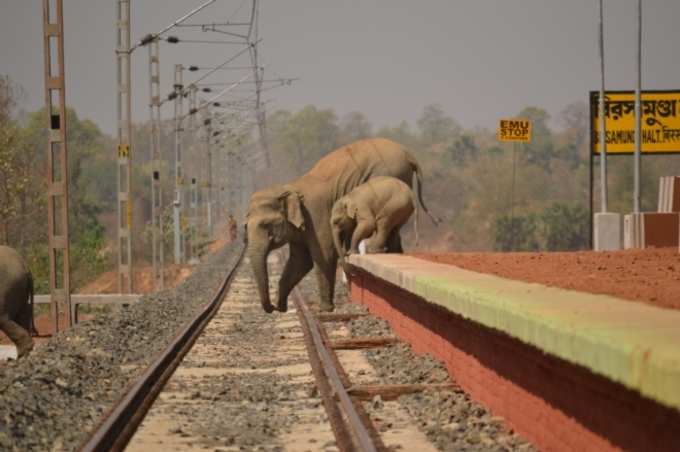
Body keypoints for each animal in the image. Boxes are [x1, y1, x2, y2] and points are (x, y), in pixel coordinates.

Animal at [246, 138, 436, 314]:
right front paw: (283, 305)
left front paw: (325, 309)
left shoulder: (316, 214)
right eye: (245, 227)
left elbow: (323, 255)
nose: (273, 308)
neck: (289, 188)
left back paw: (377, 250)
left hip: (390, 173)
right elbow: (299, 260)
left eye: (266, 225)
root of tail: (409, 154)